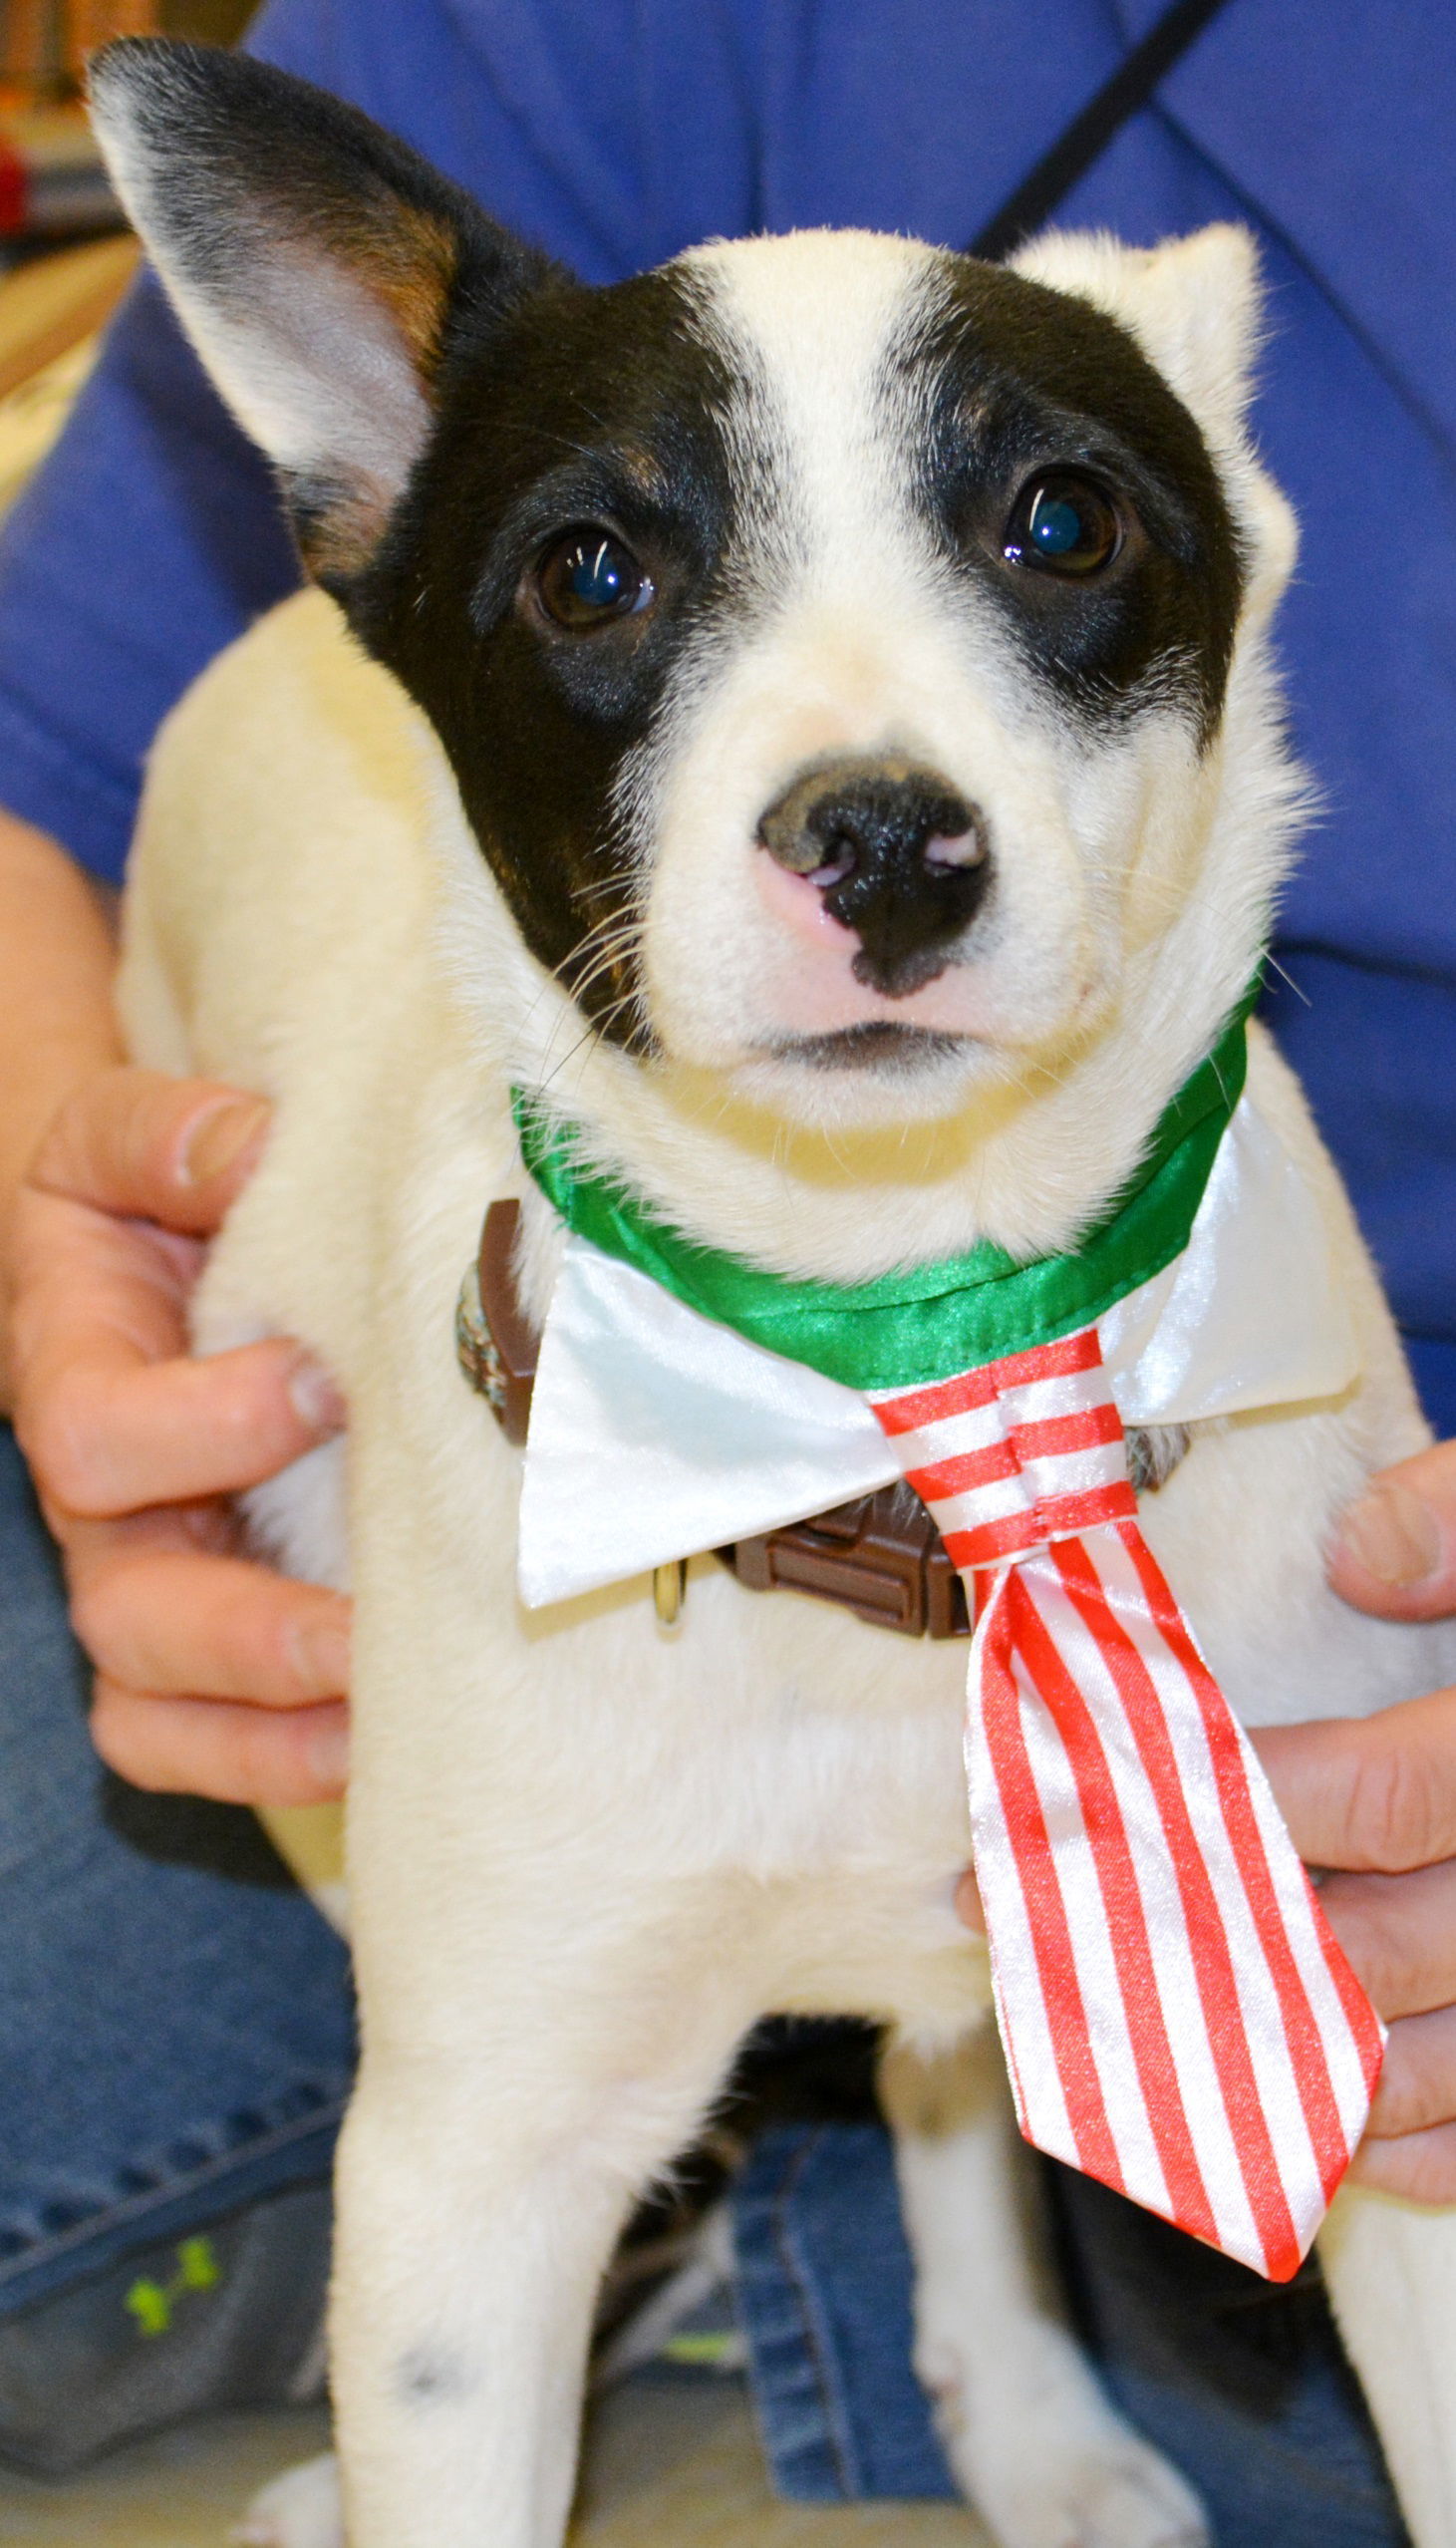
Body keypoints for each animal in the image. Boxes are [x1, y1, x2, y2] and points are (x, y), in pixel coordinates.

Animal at [83, 39, 1456, 2548]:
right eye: (588, 569)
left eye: (1058, 523)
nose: (887, 842)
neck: (905, 1360)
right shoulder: (468, 2176)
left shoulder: (1381, 2020)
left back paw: (1028, 2424)